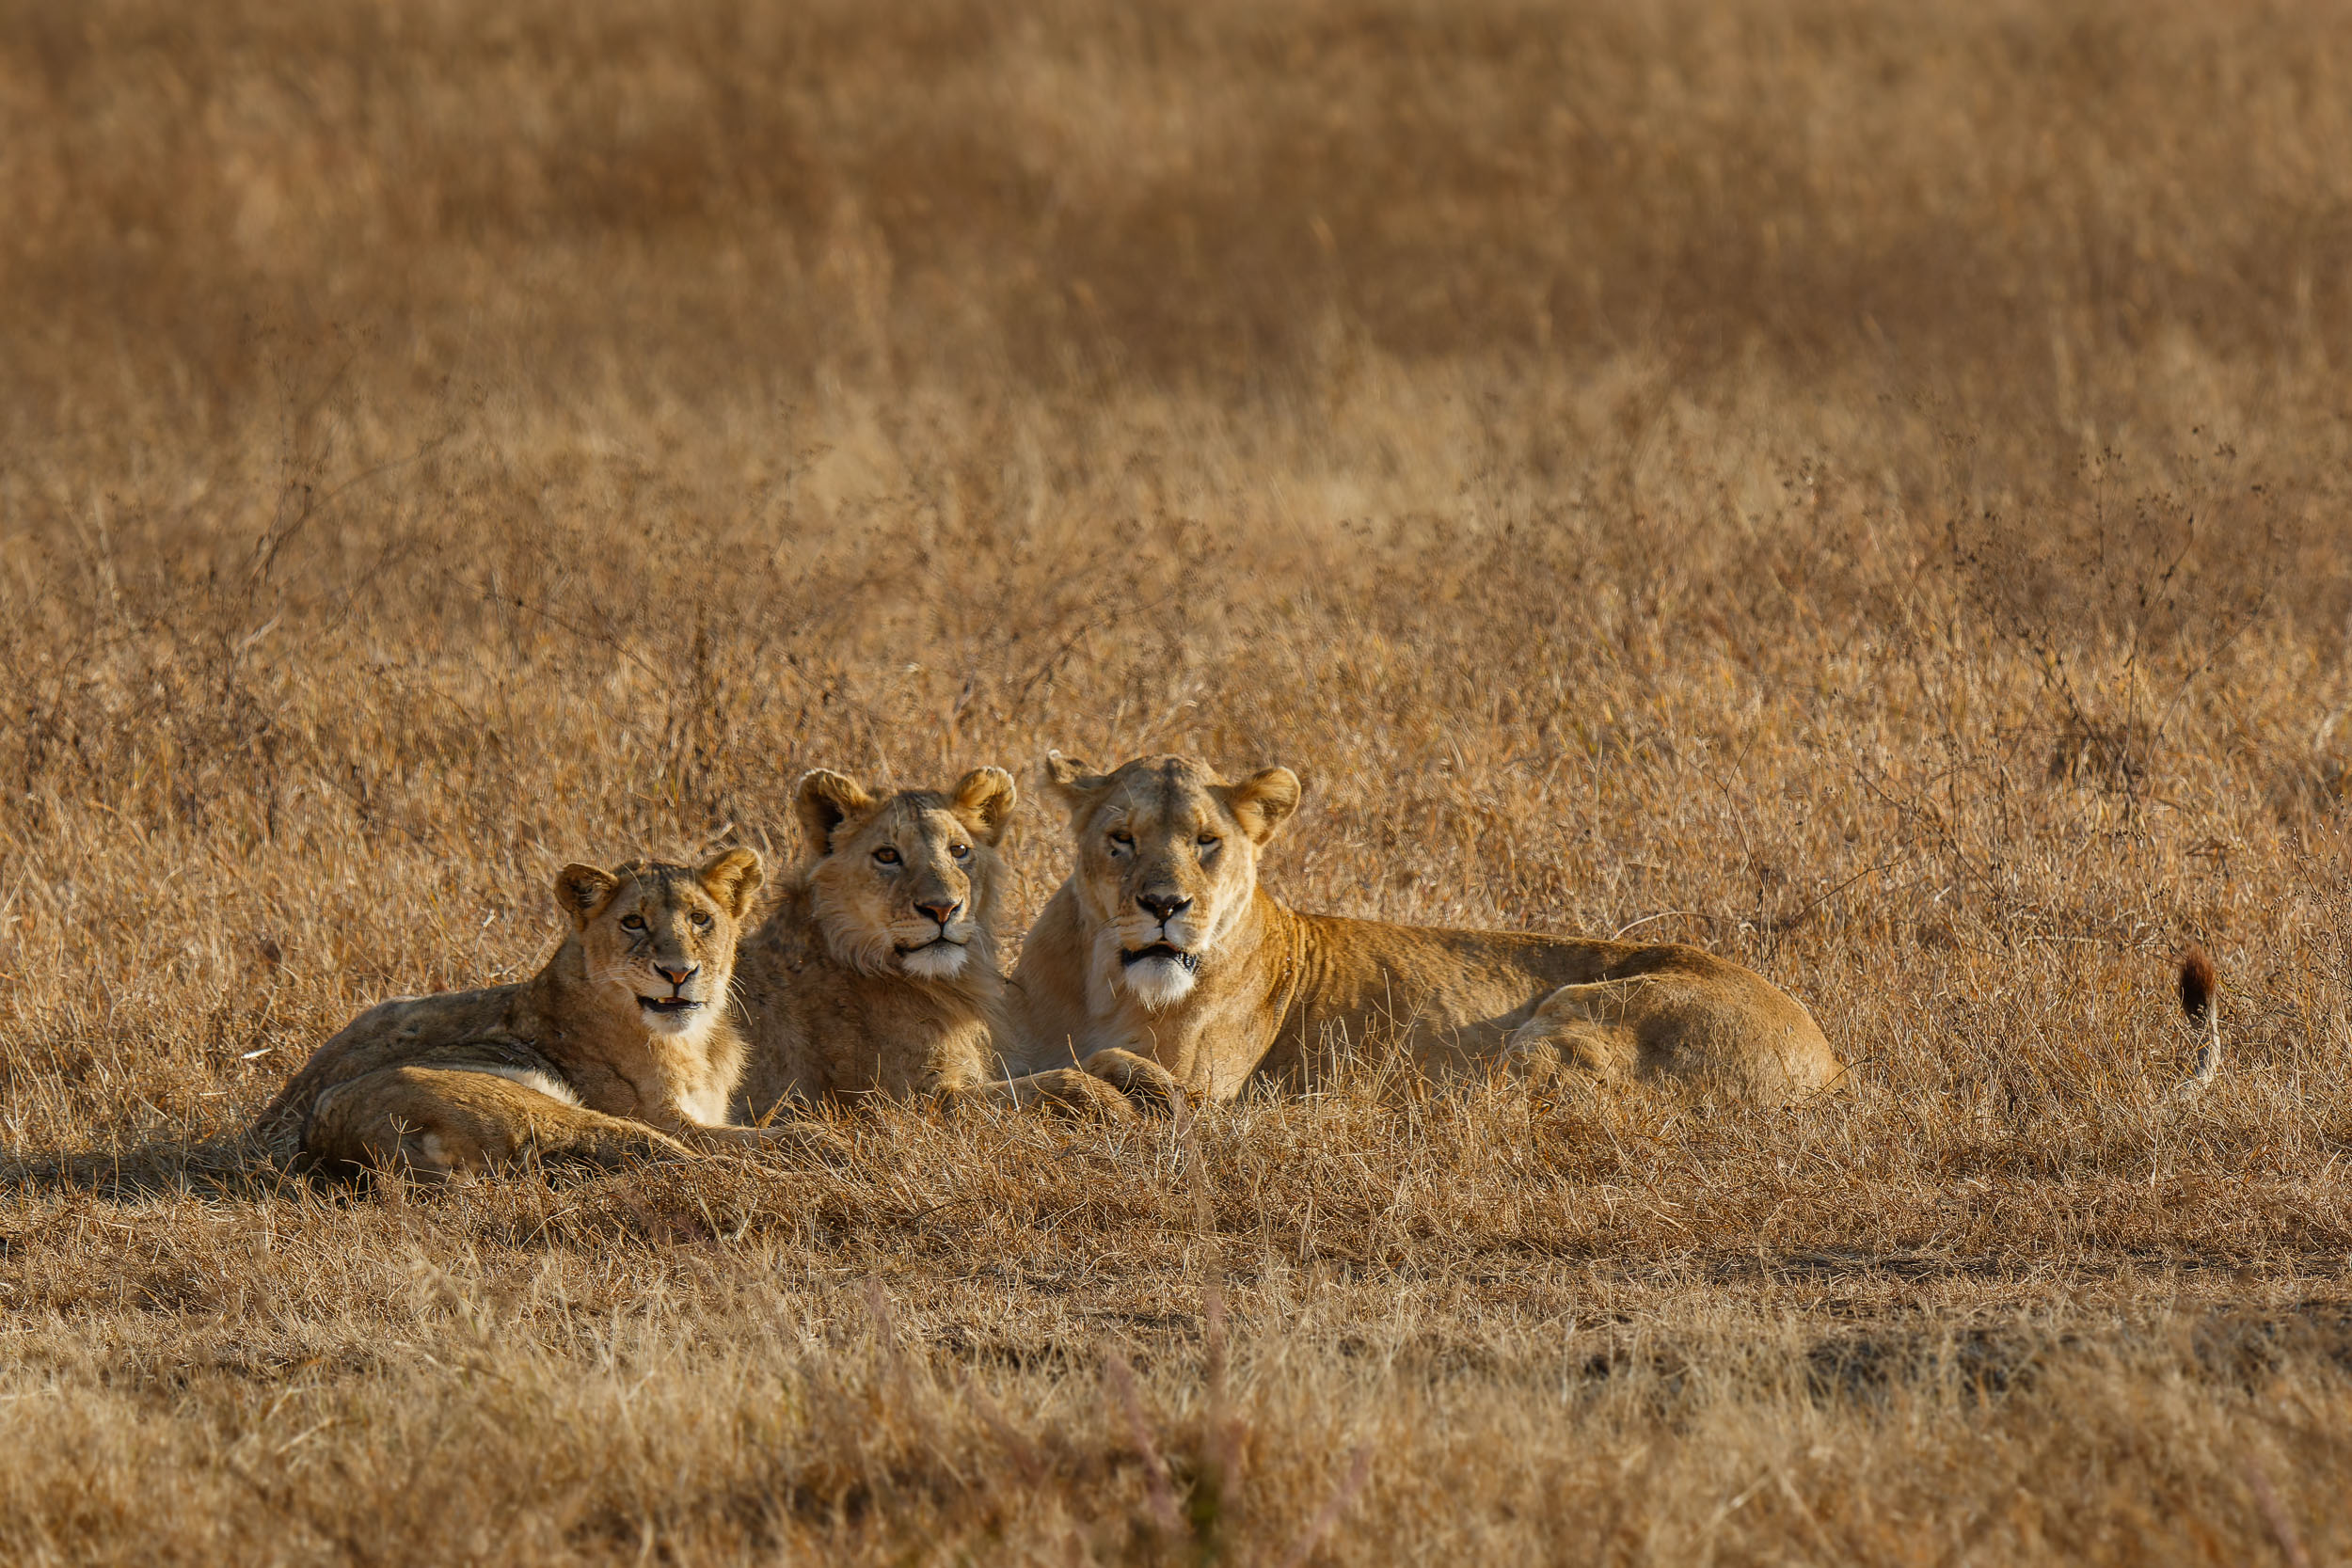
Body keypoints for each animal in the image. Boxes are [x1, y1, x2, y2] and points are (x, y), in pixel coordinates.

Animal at [254, 849, 801, 1178]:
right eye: (633, 922)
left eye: (700, 918)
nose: (677, 972)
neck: (693, 1040)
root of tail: (343, 1150)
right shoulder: (668, 1118)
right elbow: (753, 1139)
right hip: (536, 1106)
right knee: (677, 1162)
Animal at [728, 767, 1148, 1121]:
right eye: (887, 855)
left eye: (959, 851)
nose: (943, 908)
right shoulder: (910, 1103)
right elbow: (1055, 1083)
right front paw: (1116, 1106)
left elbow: (1099, 1057)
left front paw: (1159, 1085)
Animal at [999, 753, 1841, 1104]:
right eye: (1121, 838)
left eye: (1207, 840)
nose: (1165, 905)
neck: (1108, 983)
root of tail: (1831, 1061)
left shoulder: (1209, 1079)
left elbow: (1133, 1072)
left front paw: (1114, 1085)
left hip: (1572, 1012)